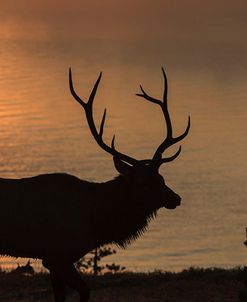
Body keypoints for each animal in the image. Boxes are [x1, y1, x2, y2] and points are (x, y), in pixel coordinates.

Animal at [0, 67, 190, 300]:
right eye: (144, 183)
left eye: (161, 179)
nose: (176, 198)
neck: (97, 220)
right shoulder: (56, 255)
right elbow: (84, 290)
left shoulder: (54, 258)